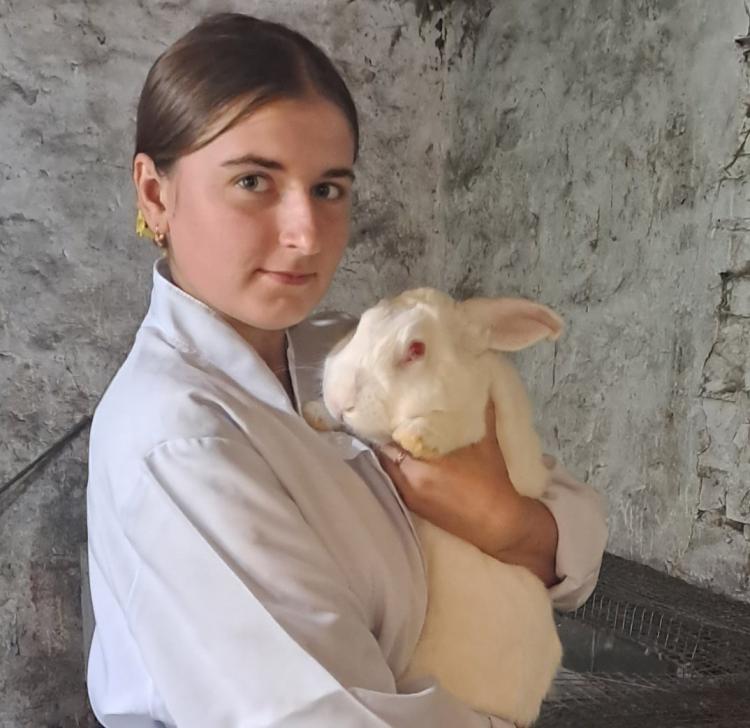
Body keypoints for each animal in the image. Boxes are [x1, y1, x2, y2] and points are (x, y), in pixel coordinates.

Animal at [302, 287, 564, 726]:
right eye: (363, 322)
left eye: (416, 349)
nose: (340, 397)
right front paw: (316, 412)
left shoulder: (472, 421)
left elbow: (444, 428)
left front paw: (415, 437)